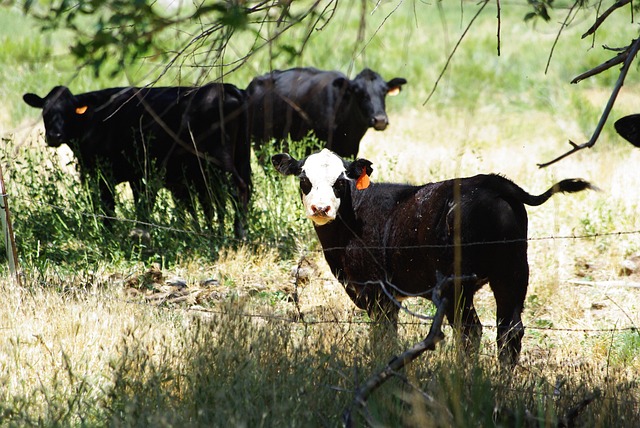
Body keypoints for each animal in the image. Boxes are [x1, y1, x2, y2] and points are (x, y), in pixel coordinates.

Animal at [23, 83, 252, 238]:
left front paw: (109, 236)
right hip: (238, 156)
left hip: (218, 161)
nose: (54, 135)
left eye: (69, 110)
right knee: (238, 191)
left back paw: (235, 234)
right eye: (45, 111)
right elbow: (141, 208)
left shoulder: (104, 175)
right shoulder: (138, 177)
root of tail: (224, 87)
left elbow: (109, 208)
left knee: (233, 191)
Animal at [272, 149, 593, 365]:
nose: (321, 208)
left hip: (458, 285)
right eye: (304, 179)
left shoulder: (377, 292)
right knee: (509, 332)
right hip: (512, 271)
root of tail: (491, 182)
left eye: (340, 181)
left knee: (470, 331)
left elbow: (383, 336)